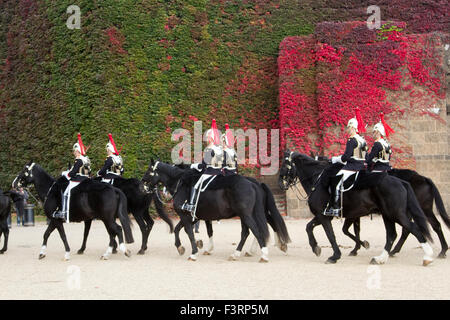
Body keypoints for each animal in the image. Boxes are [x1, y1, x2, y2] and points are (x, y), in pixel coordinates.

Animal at [142, 160, 286, 262]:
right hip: (245, 216)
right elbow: (181, 230)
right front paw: (182, 247)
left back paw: (264, 254)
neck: (181, 184)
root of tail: (252, 183)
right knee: (248, 232)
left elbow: (189, 233)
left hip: (247, 215)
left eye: (149, 170)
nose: (143, 185)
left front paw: (194, 253)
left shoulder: (186, 216)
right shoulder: (193, 217)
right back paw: (237, 253)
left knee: (257, 230)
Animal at [280, 151, 434, 266]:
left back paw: (428, 257)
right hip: (387, 215)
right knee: (392, 235)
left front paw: (335, 256)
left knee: (413, 229)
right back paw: (380, 258)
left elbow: (330, 235)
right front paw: (316, 247)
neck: (317, 180)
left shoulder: (324, 216)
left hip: (396, 214)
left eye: (284, 165)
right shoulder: (323, 215)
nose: (281, 184)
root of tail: (400, 181)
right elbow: (309, 227)